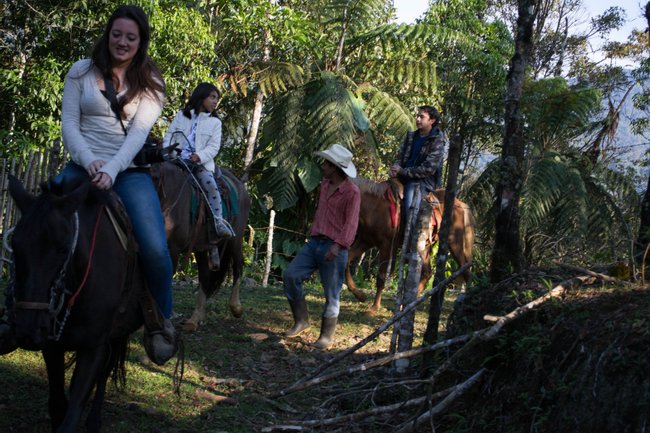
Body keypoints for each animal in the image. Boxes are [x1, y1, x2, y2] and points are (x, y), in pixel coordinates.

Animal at [7, 174, 145, 430]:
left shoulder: (93, 347)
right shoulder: (51, 346)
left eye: (63, 249)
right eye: (15, 245)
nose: (28, 329)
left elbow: (72, 415)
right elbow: (58, 406)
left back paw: (94, 421)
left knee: (106, 368)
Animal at [151, 162, 249, 330]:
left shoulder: (173, 249)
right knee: (204, 276)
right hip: (201, 247)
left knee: (238, 266)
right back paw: (194, 320)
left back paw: (236, 307)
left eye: (155, 176)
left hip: (235, 240)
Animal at [344, 176, 470, 314]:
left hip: (455, 243)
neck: (374, 207)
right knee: (427, 273)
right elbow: (347, 260)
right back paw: (405, 306)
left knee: (466, 268)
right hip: (424, 248)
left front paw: (374, 308)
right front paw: (359, 295)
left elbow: (381, 276)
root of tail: (460, 204)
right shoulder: (365, 241)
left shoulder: (387, 245)